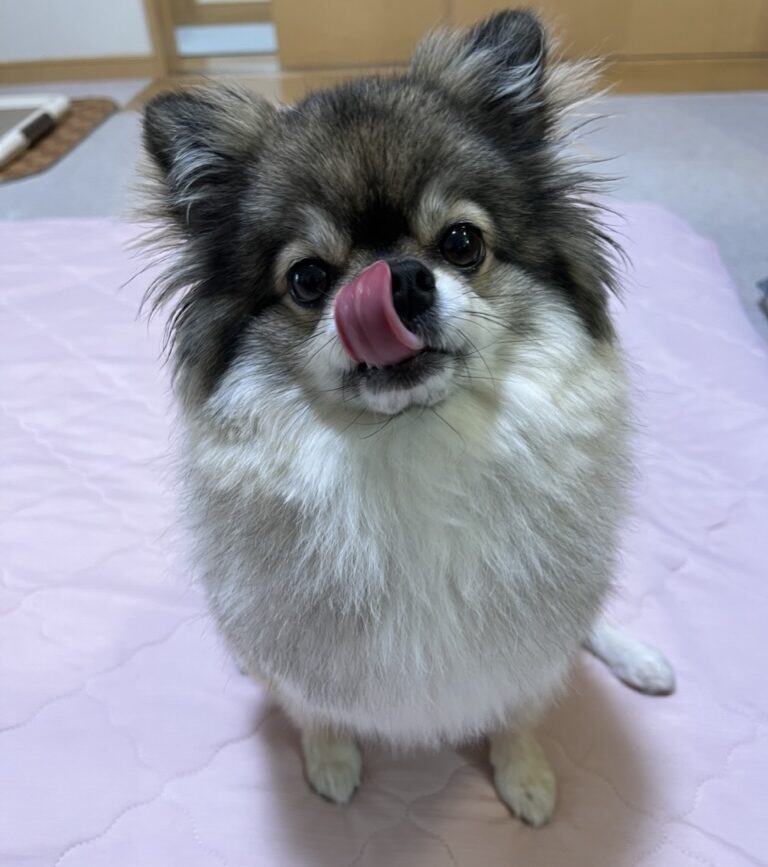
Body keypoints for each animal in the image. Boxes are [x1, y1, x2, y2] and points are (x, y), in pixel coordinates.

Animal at [141, 11, 676, 828]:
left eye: (462, 241)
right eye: (308, 278)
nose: (396, 279)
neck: (413, 441)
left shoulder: (526, 642)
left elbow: (519, 710)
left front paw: (525, 774)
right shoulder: (300, 655)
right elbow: (314, 709)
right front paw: (331, 762)